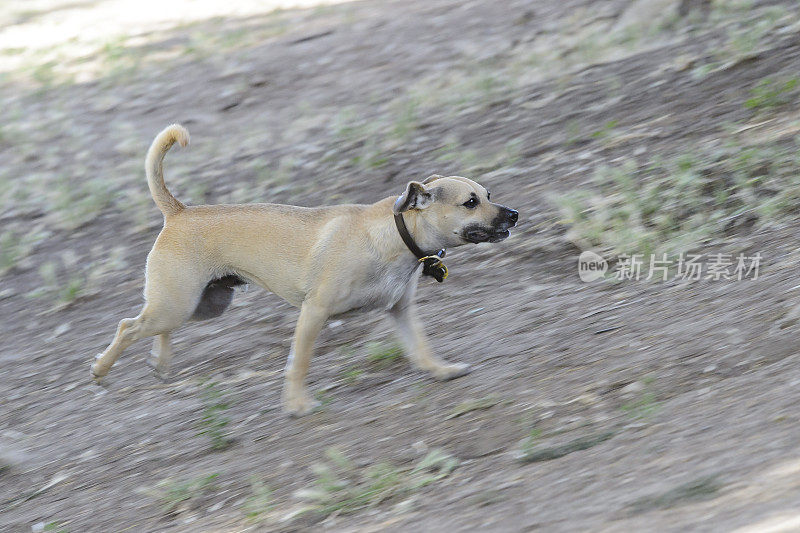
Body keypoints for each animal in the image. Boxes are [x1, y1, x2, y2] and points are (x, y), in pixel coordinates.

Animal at [92, 124, 520, 416]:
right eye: (470, 202)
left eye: (489, 195)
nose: (515, 214)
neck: (395, 235)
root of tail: (178, 212)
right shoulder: (313, 313)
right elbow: (299, 363)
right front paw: (297, 405)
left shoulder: (401, 311)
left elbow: (421, 347)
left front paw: (441, 370)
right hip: (179, 302)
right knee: (128, 326)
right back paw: (100, 368)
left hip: (201, 304)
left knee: (152, 327)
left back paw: (160, 363)